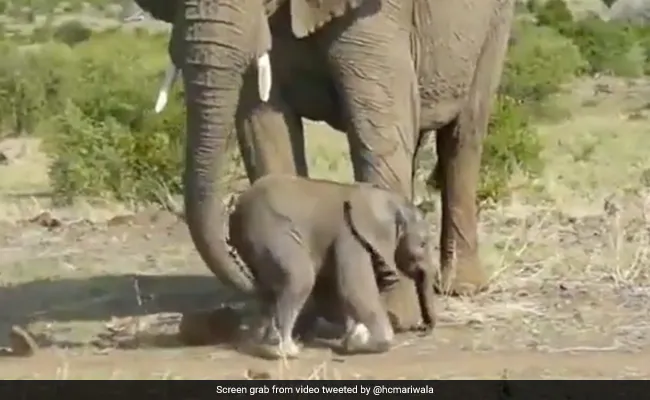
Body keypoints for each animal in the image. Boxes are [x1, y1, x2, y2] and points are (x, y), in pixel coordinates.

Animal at [130, 0, 515, 327]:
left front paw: (393, 318)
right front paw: (306, 310)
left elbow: (379, 127)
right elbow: (263, 124)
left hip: (495, 25)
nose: (250, 282)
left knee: (463, 138)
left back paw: (460, 287)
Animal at [226, 173, 436, 359]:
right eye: (423, 244)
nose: (422, 328)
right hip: (269, 229)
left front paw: (354, 336)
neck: (388, 201)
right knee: (300, 278)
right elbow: (352, 289)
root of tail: (236, 206)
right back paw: (286, 351)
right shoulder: (350, 236)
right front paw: (360, 342)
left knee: (267, 288)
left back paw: (259, 343)